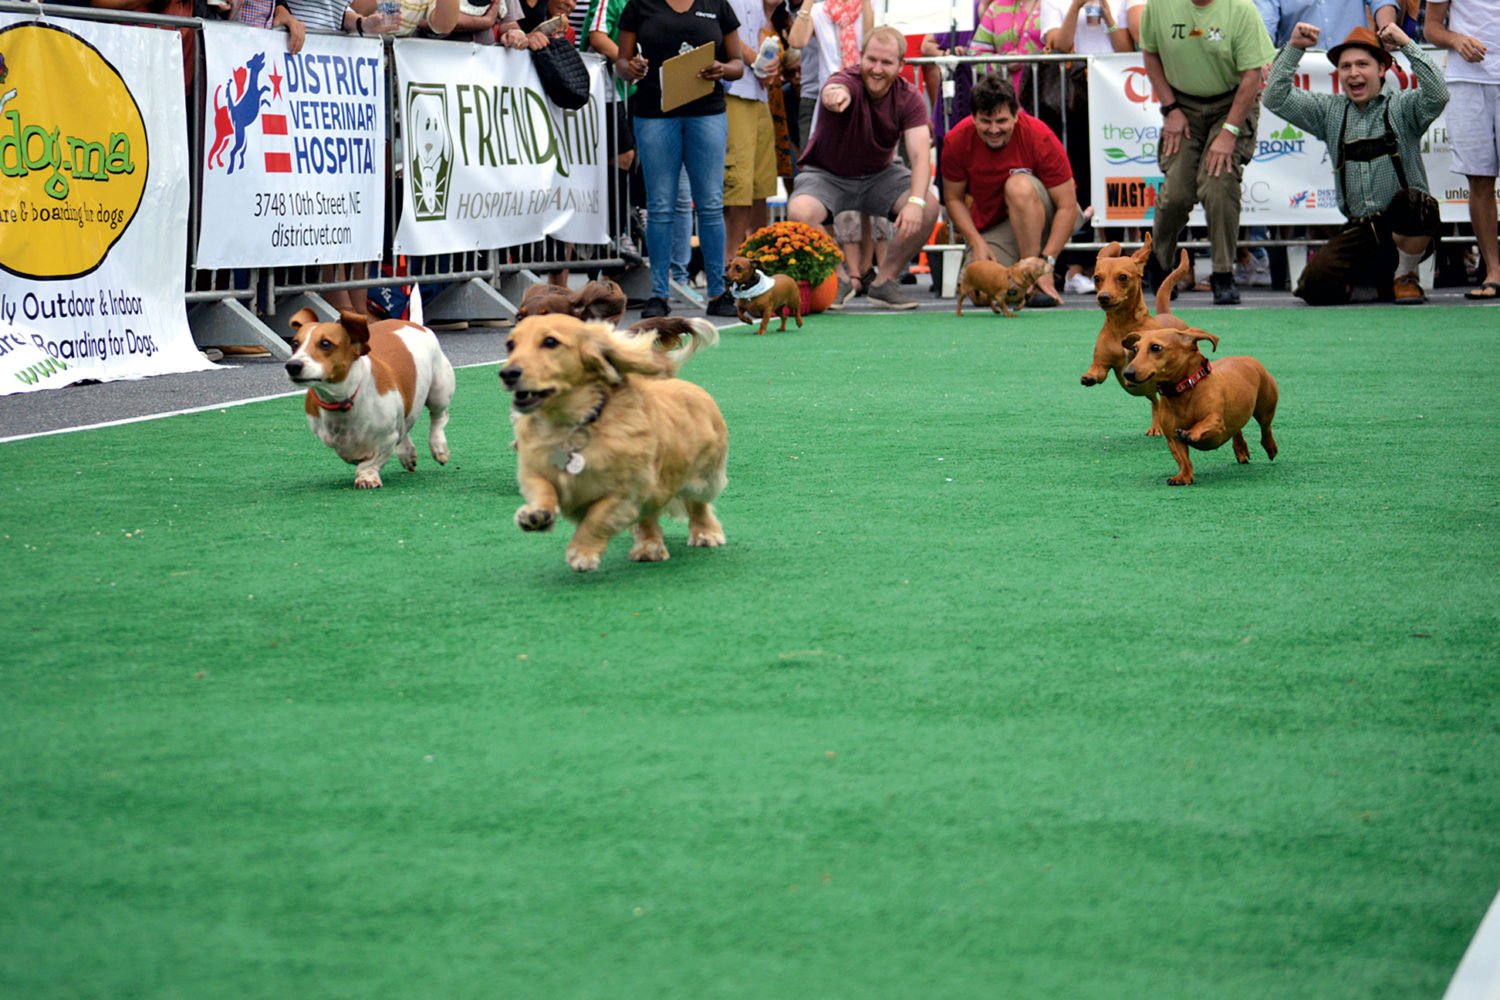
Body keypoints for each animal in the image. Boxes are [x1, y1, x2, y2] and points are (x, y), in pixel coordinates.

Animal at [283, 308, 453, 488]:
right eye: (294, 344)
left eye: (325, 343)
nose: (292, 366)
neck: (345, 398)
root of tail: (413, 324)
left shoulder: (387, 438)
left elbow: (372, 460)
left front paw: (367, 476)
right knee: (406, 425)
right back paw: (407, 453)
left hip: (439, 390)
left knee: (438, 417)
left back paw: (438, 447)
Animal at [498, 316, 726, 575]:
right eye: (510, 344)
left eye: (550, 342)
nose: (507, 373)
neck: (573, 425)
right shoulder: (534, 470)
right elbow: (542, 488)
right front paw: (536, 514)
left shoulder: (626, 491)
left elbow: (598, 518)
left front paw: (582, 552)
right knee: (648, 518)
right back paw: (649, 547)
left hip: (703, 479)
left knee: (697, 504)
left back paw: (705, 533)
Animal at [1086, 236, 1188, 440]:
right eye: (1096, 278)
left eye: (1123, 277)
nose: (1103, 297)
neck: (1122, 326)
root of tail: (1166, 313)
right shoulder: (1102, 366)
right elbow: (1097, 373)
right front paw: (1088, 377)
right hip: (1148, 392)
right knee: (1156, 403)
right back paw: (1156, 426)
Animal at [1128, 326, 1278, 485]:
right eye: (1135, 348)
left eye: (1156, 347)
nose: (1127, 373)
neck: (1184, 392)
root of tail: (1247, 358)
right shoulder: (1172, 438)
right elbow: (1183, 459)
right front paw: (1183, 477)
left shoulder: (1216, 423)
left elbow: (1203, 424)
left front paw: (1190, 433)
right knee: (1237, 428)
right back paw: (1241, 449)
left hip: (1265, 408)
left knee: (1265, 428)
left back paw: (1270, 448)